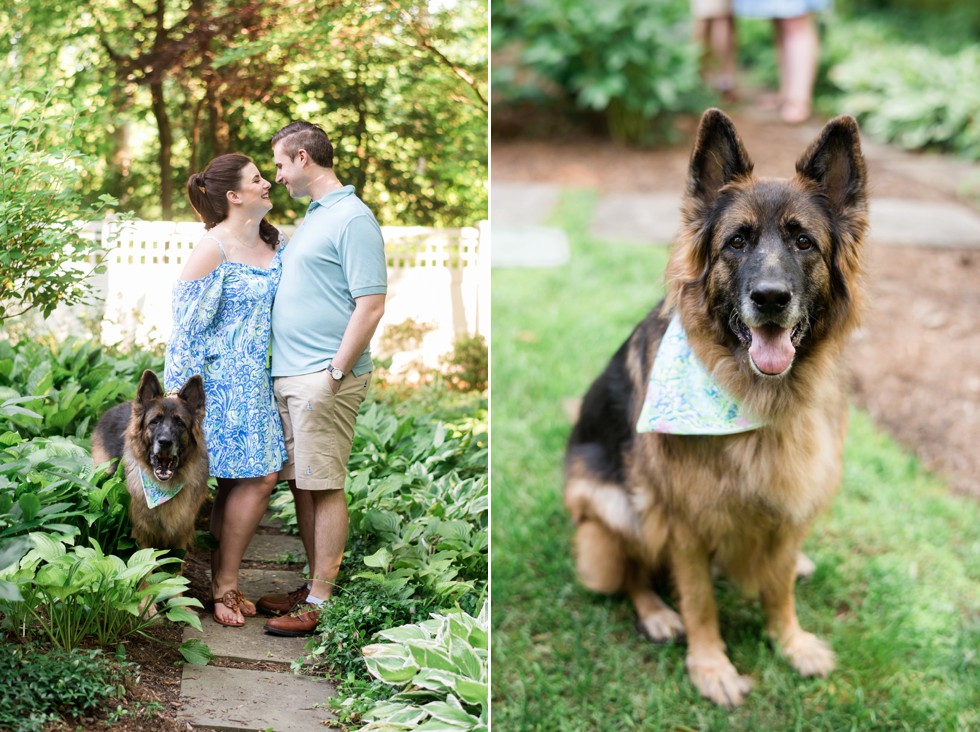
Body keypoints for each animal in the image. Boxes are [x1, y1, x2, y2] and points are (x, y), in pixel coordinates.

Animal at [92, 372, 209, 548]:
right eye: (154, 421)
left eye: (180, 423)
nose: (165, 442)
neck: (164, 488)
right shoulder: (143, 535)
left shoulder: (181, 535)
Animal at [564, 106, 868, 708]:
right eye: (737, 241)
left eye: (804, 242)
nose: (770, 299)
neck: (759, 401)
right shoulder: (684, 520)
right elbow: (700, 599)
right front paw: (711, 666)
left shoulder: (793, 496)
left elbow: (778, 586)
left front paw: (790, 641)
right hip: (613, 506)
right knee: (632, 573)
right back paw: (657, 613)